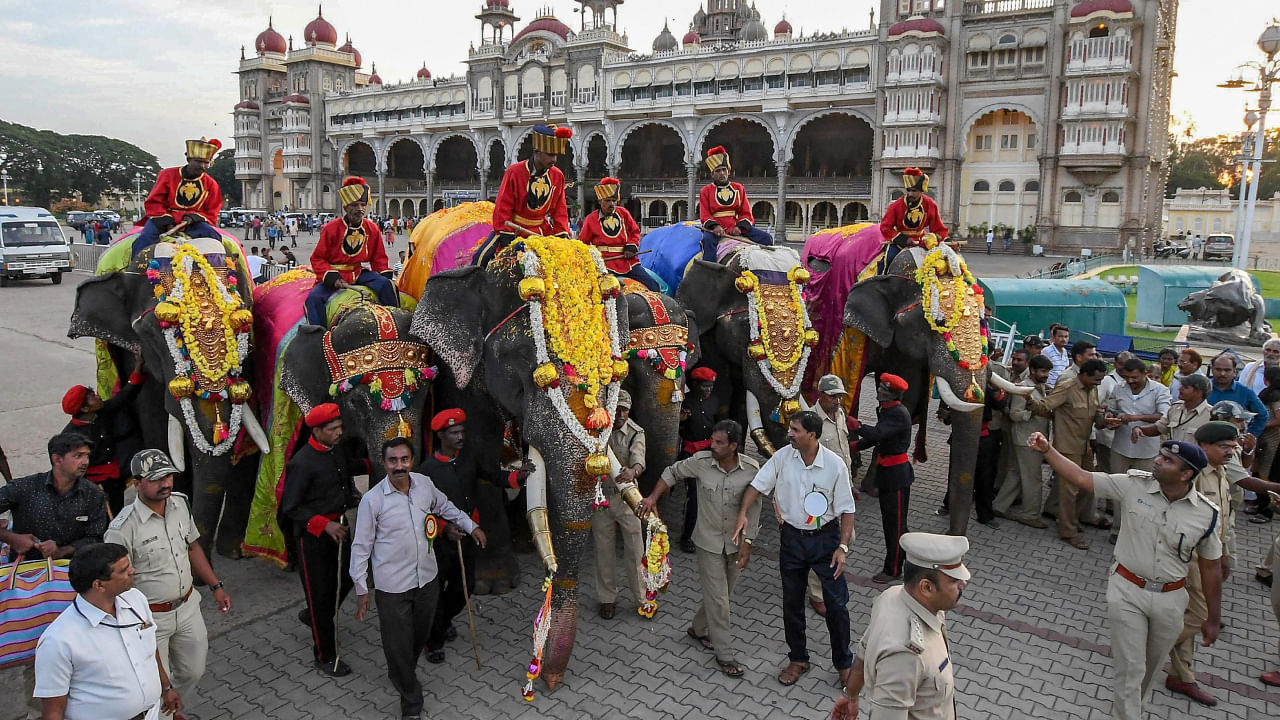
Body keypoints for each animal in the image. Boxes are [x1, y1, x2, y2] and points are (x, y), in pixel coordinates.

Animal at [412, 238, 675, 691]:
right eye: (519, 358)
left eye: (614, 366)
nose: (548, 677)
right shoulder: (460, 372)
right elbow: (477, 449)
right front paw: (494, 586)